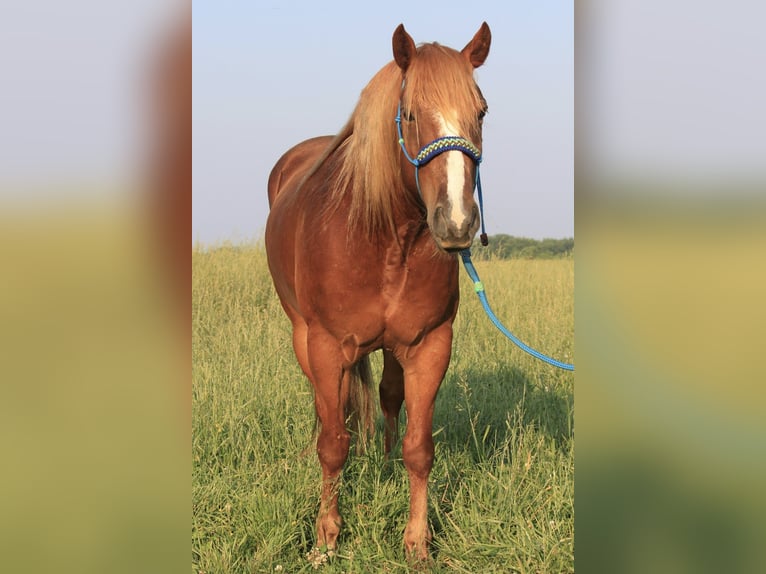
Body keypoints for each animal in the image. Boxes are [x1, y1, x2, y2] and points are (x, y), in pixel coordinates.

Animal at [264, 23, 492, 564]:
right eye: (409, 114)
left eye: (481, 112)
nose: (456, 222)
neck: (386, 238)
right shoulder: (327, 346)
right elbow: (332, 444)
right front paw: (326, 538)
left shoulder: (430, 344)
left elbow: (419, 447)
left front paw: (417, 543)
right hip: (302, 336)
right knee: (329, 409)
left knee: (387, 396)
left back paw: (383, 463)